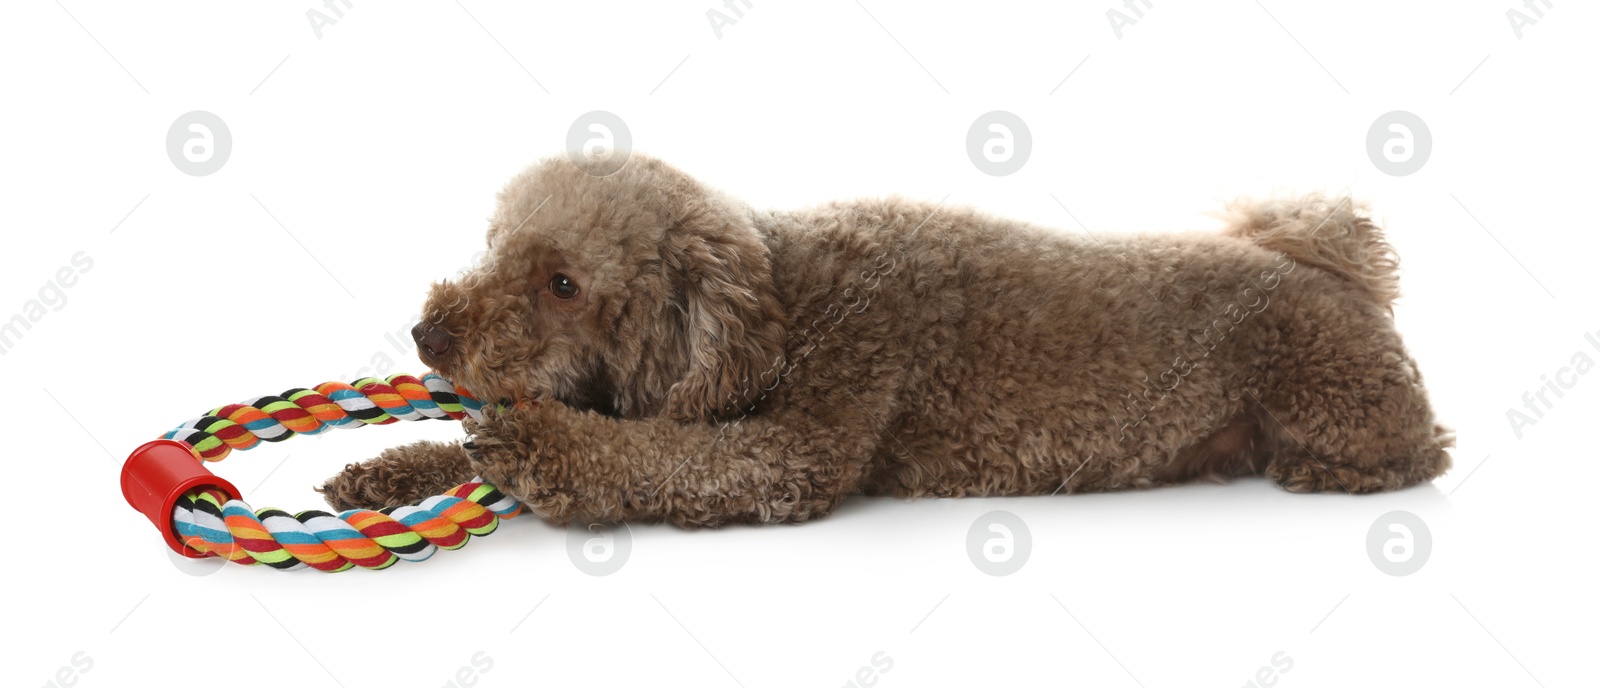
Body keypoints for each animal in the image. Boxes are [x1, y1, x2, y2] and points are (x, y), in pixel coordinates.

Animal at [318, 156, 1459, 528]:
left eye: (562, 283)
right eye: (493, 250)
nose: (427, 332)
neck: (783, 305)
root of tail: (1334, 265)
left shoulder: (801, 441)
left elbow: (652, 455)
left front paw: (534, 449)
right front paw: (389, 468)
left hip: (1330, 391)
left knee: (1421, 450)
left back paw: (1334, 471)